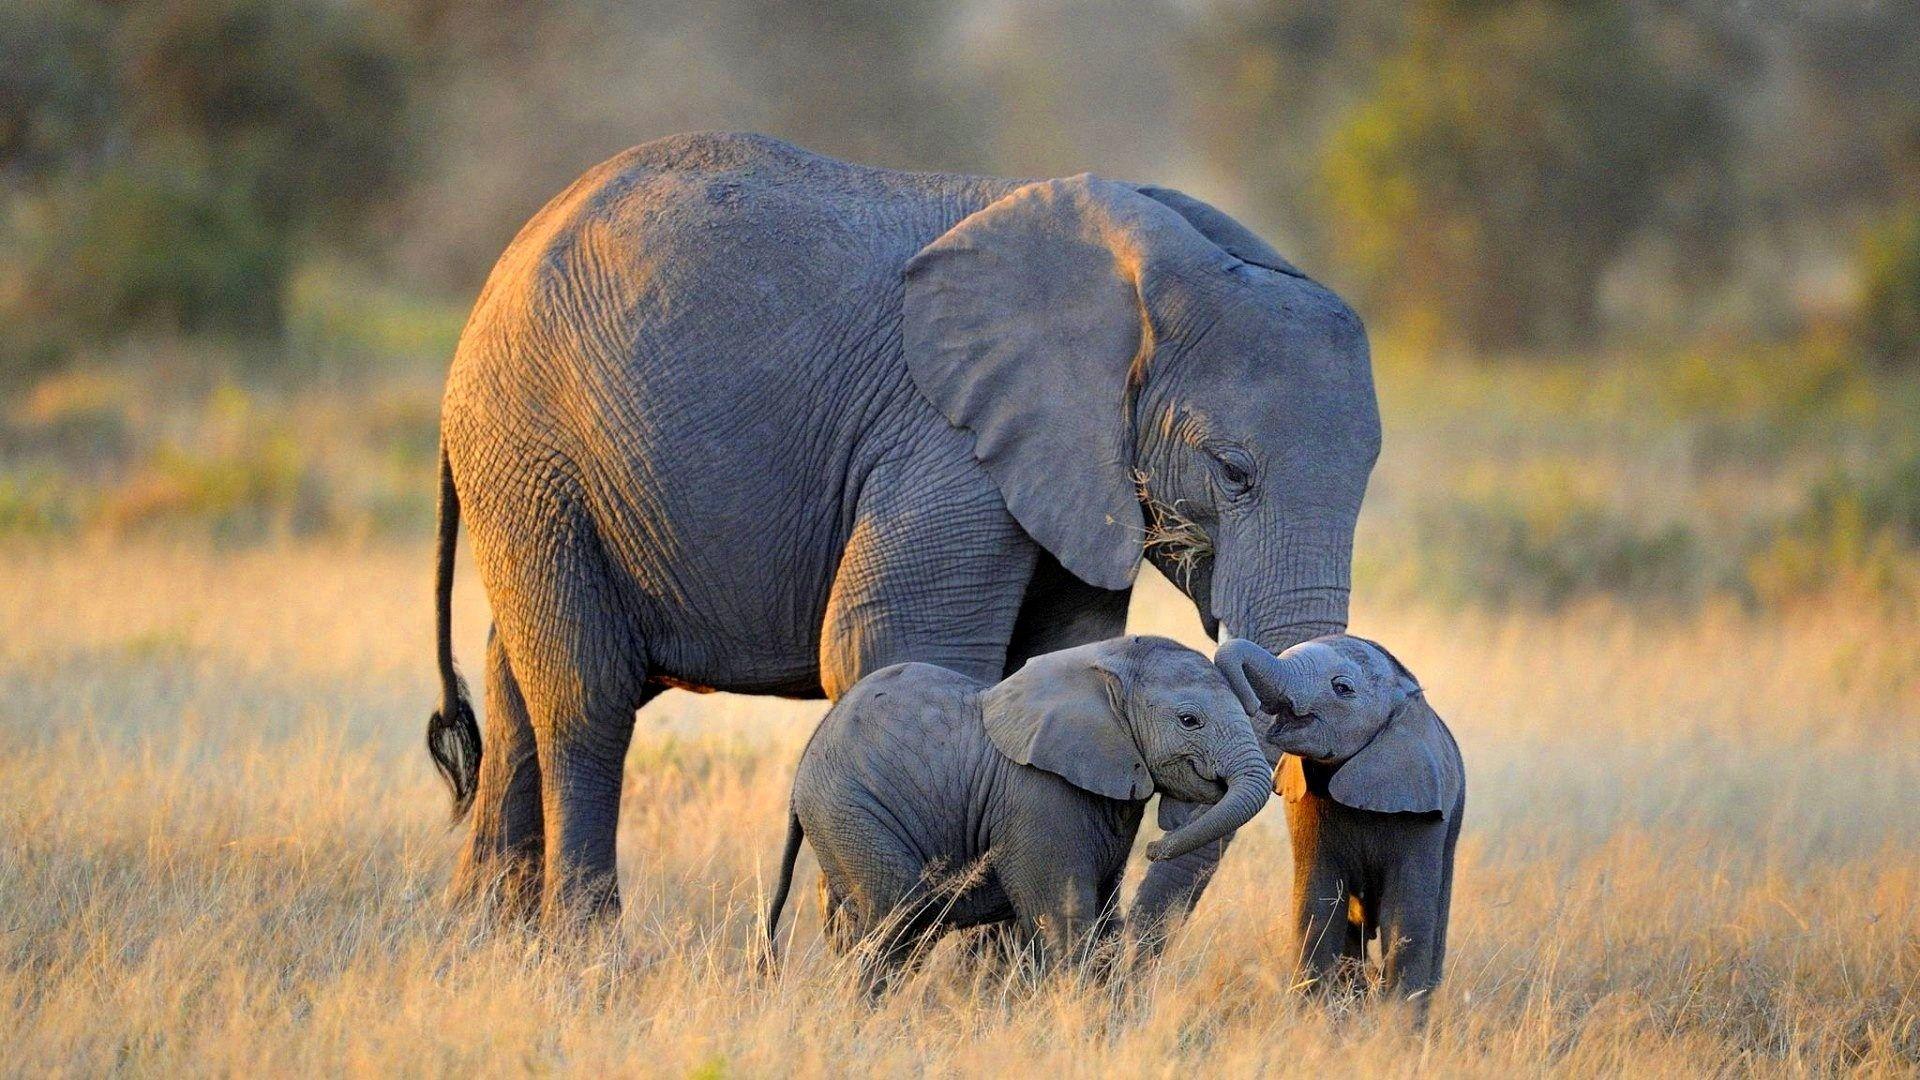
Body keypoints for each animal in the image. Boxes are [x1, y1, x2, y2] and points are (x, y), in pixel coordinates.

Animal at [424, 131, 1380, 923]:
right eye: (1234, 472)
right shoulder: (944, 441)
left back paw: (486, 942)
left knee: (516, 684)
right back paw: (585, 949)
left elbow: (1055, 656)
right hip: (532, 450)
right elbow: (893, 646)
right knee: (584, 698)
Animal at [765, 636, 1272, 986]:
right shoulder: (1039, 797)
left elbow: (1105, 919)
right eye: (1190, 721)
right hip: (851, 812)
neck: (1105, 665)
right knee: (896, 922)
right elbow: (1065, 920)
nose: (1154, 848)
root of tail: (805, 762)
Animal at [1213, 636, 1464, 1007]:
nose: (1249, 704)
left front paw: (1397, 1021)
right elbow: (1318, 904)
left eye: (1342, 688)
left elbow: (1406, 916)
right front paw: (1313, 1012)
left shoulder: (1423, 809)